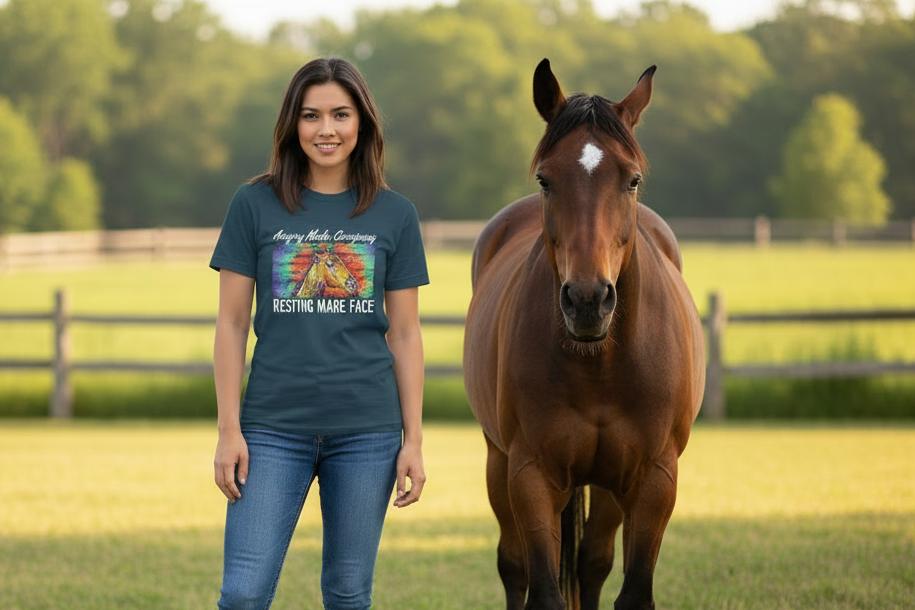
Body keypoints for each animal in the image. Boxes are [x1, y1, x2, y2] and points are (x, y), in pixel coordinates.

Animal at [463, 59, 705, 610]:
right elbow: (543, 589)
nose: (588, 300)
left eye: (633, 180)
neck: (599, 364)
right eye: (545, 179)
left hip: (612, 487)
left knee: (593, 562)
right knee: (514, 566)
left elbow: (630, 590)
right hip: (497, 462)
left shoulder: (654, 479)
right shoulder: (529, 475)